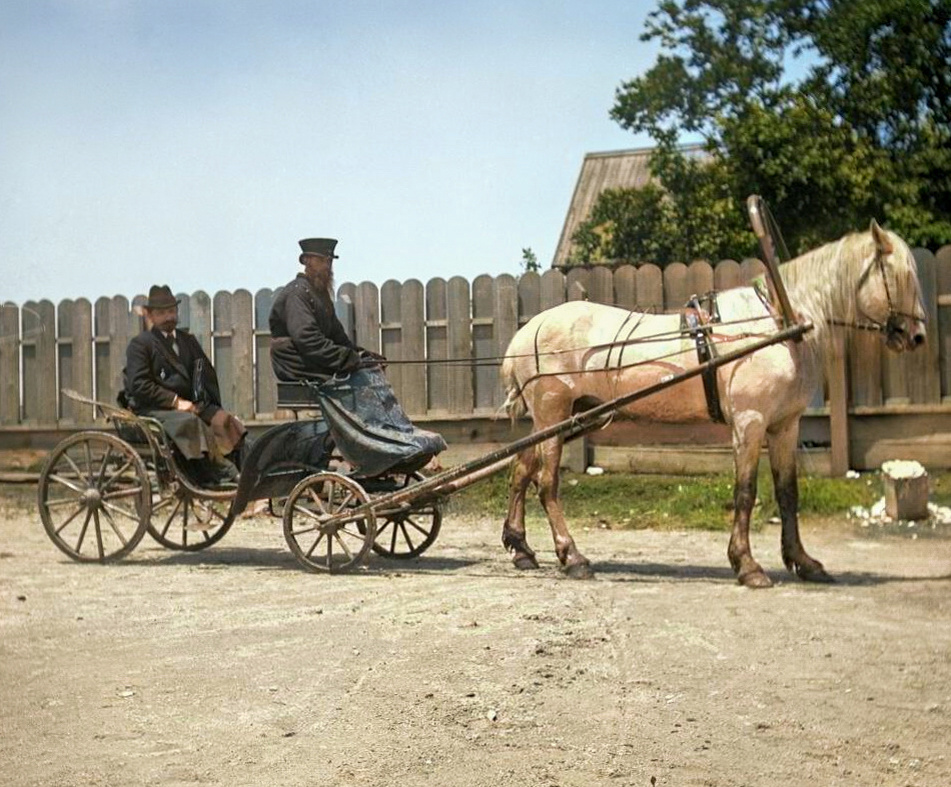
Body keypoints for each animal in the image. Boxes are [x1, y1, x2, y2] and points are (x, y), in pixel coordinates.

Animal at [502, 222, 924, 584]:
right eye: (901, 276)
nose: (916, 335)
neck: (776, 321)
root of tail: (526, 332)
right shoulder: (750, 423)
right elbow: (746, 492)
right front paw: (747, 565)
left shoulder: (785, 426)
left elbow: (788, 493)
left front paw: (803, 562)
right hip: (553, 414)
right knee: (547, 483)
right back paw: (572, 556)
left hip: (560, 419)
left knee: (521, 469)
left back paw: (521, 547)